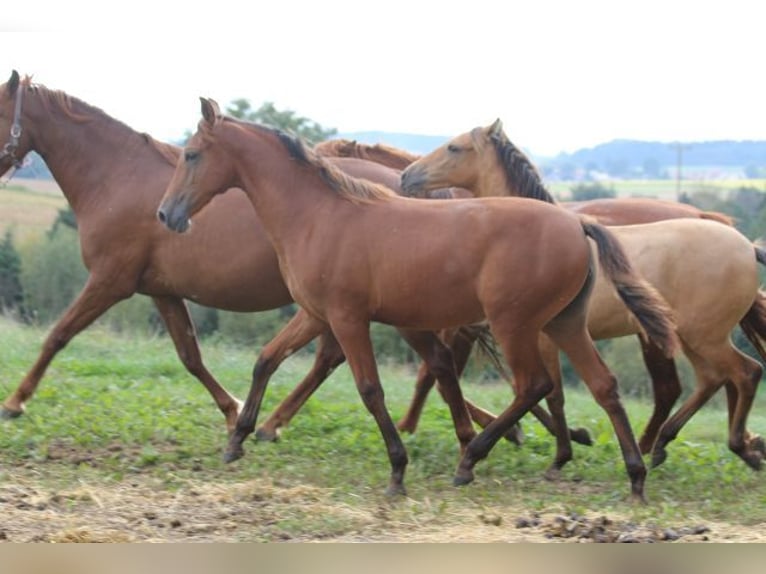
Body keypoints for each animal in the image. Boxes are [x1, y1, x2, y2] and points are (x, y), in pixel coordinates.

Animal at [0, 72, 492, 444]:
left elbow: (57, 335)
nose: (167, 215)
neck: (117, 176)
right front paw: (233, 411)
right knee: (388, 361)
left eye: (0, 113)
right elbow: (190, 356)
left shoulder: (109, 281)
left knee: (373, 361)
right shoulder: (161, 292)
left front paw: (15, 402)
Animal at [156, 98, 680, 500]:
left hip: (515, 324)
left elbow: (370, 389)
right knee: (603, 385)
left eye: (192, 154)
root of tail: (576, 222)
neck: (319, 215)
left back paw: (471, 461)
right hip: (564, 323)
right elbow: (267, 359)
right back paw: (635, 477)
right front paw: (238, 439)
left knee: (534, 385)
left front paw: (397, 471)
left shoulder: (348, 318)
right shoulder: (321, 314)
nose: (166, 214)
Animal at [402, 119, 766, 474]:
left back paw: (736, 447)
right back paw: (665, 445)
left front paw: (560, 455)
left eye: (454, 147)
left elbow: (550, 393)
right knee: (712, 379)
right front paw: (561, 451)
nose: (408, 175)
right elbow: (548, 394)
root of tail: (746, 246)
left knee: (744, 373)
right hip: (690, 337)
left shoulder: (542, 338)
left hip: (704, 337)